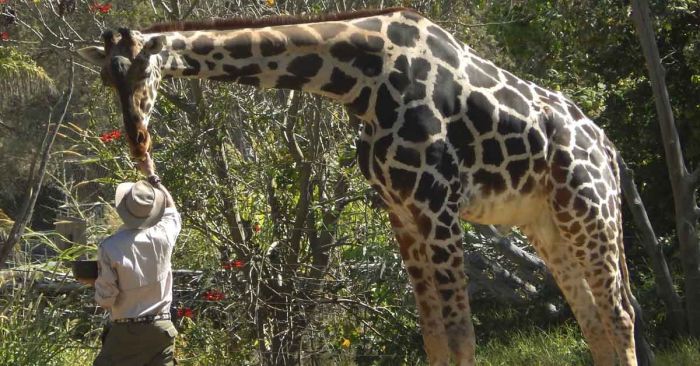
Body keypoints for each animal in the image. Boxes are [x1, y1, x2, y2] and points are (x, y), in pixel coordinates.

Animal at [79, 6, 636, 366]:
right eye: (107, 79)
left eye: (145, 72)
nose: (138, 144)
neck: (360, 80)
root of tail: (609, 148)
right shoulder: (401, 211)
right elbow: (435, 338)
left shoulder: (437, 205)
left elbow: (461, 337)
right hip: (547, 224)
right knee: (594, 320)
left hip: (591, 211)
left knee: (621, 314)